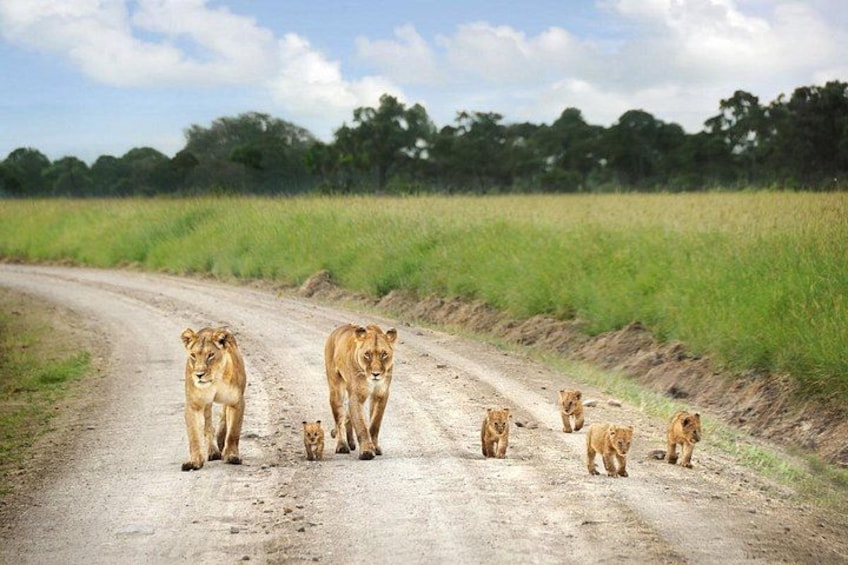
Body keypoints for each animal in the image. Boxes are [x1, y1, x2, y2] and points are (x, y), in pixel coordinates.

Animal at [180, 327, 247, 471]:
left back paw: (221, 441)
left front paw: (231, 456)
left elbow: (233, 431)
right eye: (193, 355)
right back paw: (213, 451)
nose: (199, 374)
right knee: (208, 427)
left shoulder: (236, 402)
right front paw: (194, 461)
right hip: (207, 404)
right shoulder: (193, 405)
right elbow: (194, 435)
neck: (214, 380)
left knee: (224, 418)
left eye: (210, 355)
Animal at [324, 323, 397, 460]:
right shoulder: (356, 396)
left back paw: (351, 442)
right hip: (336, 389)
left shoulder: (381, 394)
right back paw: (342, 445)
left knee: (347, 416)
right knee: (339, 419)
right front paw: (367, 451)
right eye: (367, 354)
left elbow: (374, 424)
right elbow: (361, 424)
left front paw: (375, 447)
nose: (376, 374)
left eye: (384, 354)